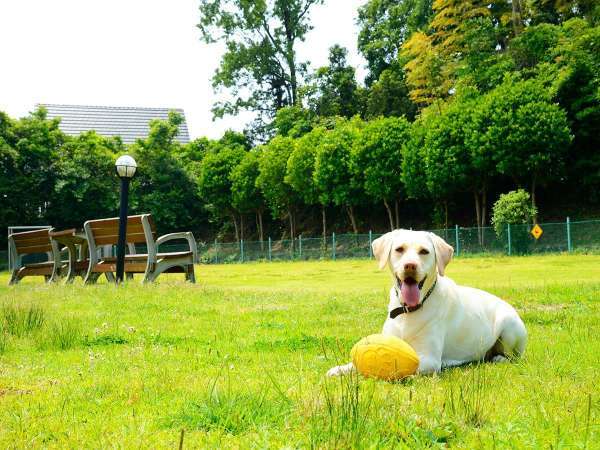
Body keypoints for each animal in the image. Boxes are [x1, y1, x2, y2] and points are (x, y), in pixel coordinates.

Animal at [326, 230, 528, 374]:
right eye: (399, 249)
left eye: (424, 251)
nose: (410, 265)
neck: (407, 311)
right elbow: (356, 363)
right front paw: (341, 369)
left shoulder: (430, 359)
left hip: (509, 326)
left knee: (512, 356)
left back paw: (499, 358)